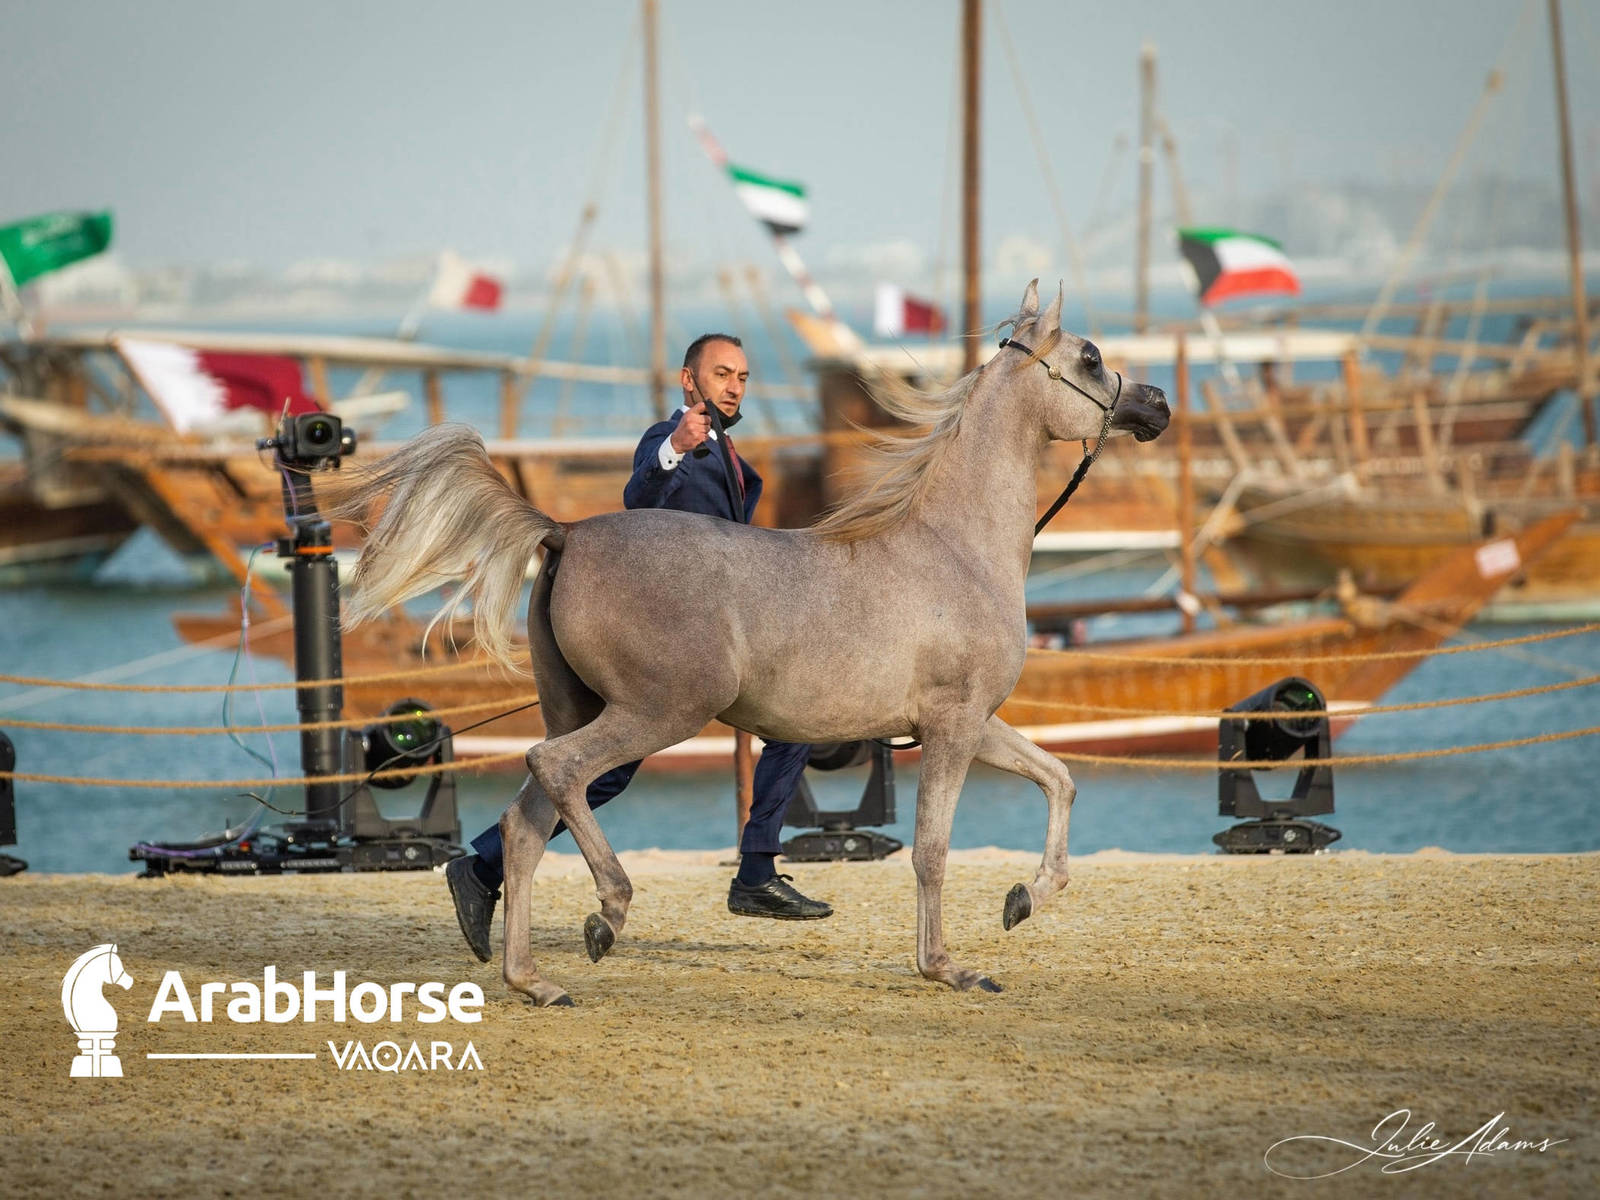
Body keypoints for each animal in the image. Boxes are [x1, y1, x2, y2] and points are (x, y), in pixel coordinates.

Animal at [333, 280, 1169, 1006]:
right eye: (1091, 356)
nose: (1157, 403)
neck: (956, 550)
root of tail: (564, 531)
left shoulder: (971, 724)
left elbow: (1059, 779)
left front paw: (1024, 898)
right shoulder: (952, 728)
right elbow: (932, 850)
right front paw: (948, 967)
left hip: (583, 708)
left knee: (525, 825)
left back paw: (533, 978)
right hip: (658, 713)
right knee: (558, 772)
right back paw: (608, 912)